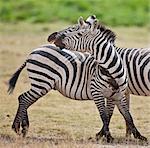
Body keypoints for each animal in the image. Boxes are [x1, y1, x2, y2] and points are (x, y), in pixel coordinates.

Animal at [8, 15, 149, 142]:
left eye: (79, 32)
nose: (53, 39)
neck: (112, 69)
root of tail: (34, 51)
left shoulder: (118, 95)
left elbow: (126, 115)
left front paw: (139, 136)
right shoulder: (97, 92)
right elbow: (104, 116)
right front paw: (107, 136)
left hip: (41, 84)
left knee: (24, 99)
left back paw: (22, 128)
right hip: (42, 82)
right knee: (24, 99)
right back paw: (18, 127)